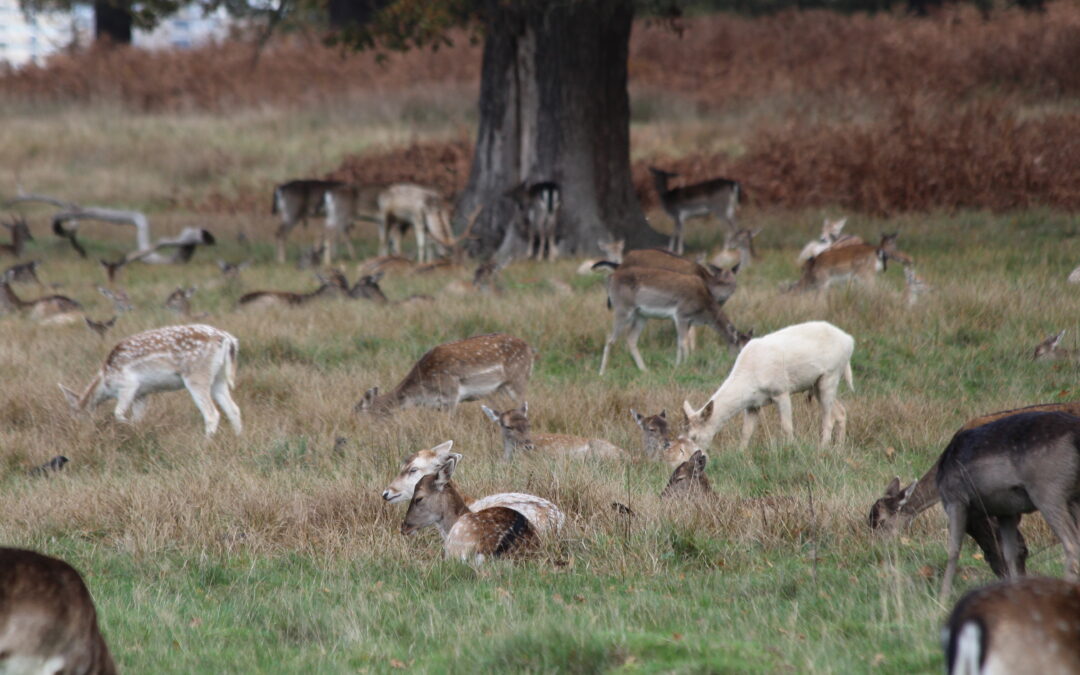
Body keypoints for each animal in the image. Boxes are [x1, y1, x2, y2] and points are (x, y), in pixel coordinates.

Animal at [58, 324, 242, 437]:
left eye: (76, 413)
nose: (78, 433)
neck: (106, 381)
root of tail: (228, 340)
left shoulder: (128, 385)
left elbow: (118, 413)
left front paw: (127, 426)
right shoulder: (142, 394)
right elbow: (137, 418)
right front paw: (136, 432)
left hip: (197, 376)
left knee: (212, 414)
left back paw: (205, 443)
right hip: (218, 379)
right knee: (233, 409)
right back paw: (239, 438)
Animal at [599, 266, 741, 375]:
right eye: (740, 346)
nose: (733, 363)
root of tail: (610, 277)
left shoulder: (687, 321)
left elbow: (679, 342)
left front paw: (677, 366)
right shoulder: (681, 315)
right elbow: (683, 342)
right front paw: (687, 365)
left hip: (641, 316)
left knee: (631, 338)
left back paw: (645, 370)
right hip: (623, 310)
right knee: (609, 338)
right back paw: (601, 372)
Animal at [683, 321, 854, 450]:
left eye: (694, 436)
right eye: (682, 435)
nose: (693, 457)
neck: (750, 378)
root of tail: (850, 341)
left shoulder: (781, 390)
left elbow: (786, 426)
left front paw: (792, 448)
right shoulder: (753, 405)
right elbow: (746, 431)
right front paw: (741, 452)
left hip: (830, 375)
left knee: (828, 417)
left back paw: (822, 448)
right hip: (816, 384)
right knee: (840, 412)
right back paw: (839, 449)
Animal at [937, 411, 1080, 598]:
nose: (1000, 574)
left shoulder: (955, 499)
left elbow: (953, 550)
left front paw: (942, 598)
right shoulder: (1006, 512)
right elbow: (1010, 553)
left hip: (1049, 491)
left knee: (1071, 544)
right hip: (1074, 497)